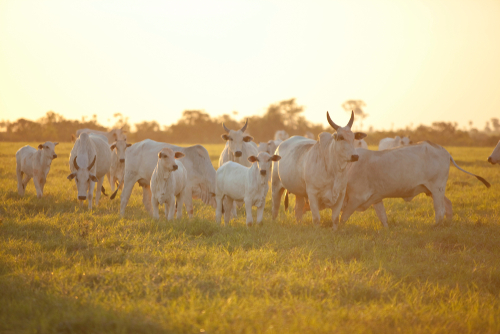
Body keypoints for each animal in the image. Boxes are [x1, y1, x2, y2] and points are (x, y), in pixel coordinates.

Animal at [342, 141, 490, 227]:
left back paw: (435, 227)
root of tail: (445, 151)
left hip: (437, 189)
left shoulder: (356, 198)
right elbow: (383, 218)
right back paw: (448, 224)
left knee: (440, 211)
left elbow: (342, 218)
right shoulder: (376, 198)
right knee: (448, 205)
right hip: (433, 191)